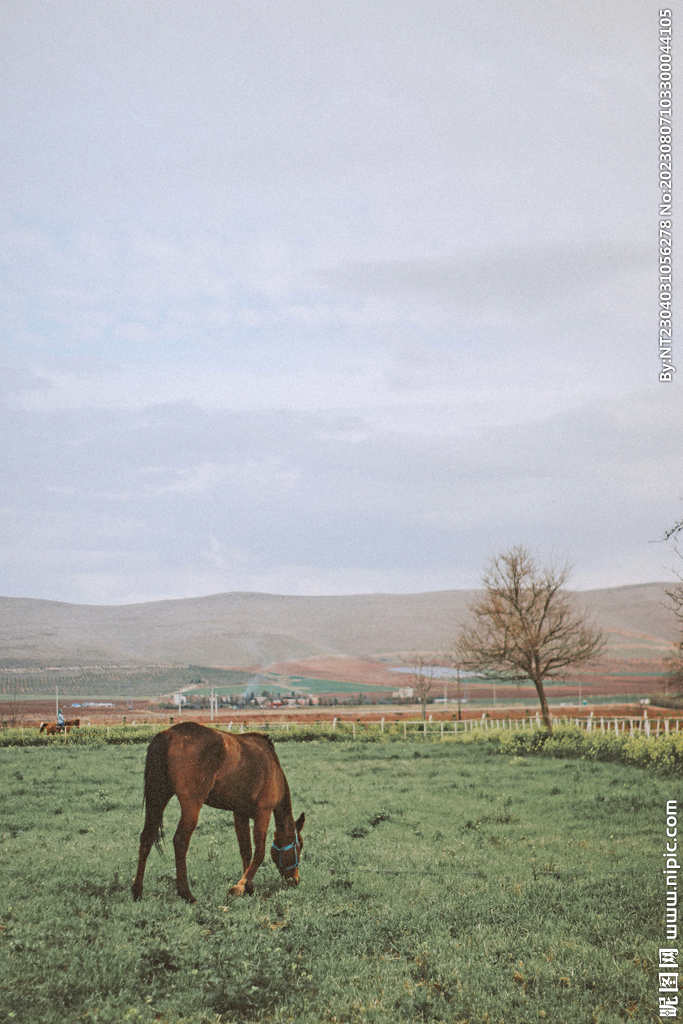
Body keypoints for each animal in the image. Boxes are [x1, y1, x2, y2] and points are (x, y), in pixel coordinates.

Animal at [131, 721, 304, 904]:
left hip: (158, 798)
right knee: (180, 841)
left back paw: (137, 891)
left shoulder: (240, 814)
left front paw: (248, 887)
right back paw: (187, 894)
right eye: (299, 845)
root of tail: (169, 734)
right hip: (191, 805)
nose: (295, 880)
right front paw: (239, 887)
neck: (272, 766)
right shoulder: (263, 812)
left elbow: (246, 851)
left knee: (147, 837)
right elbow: (259, 853)